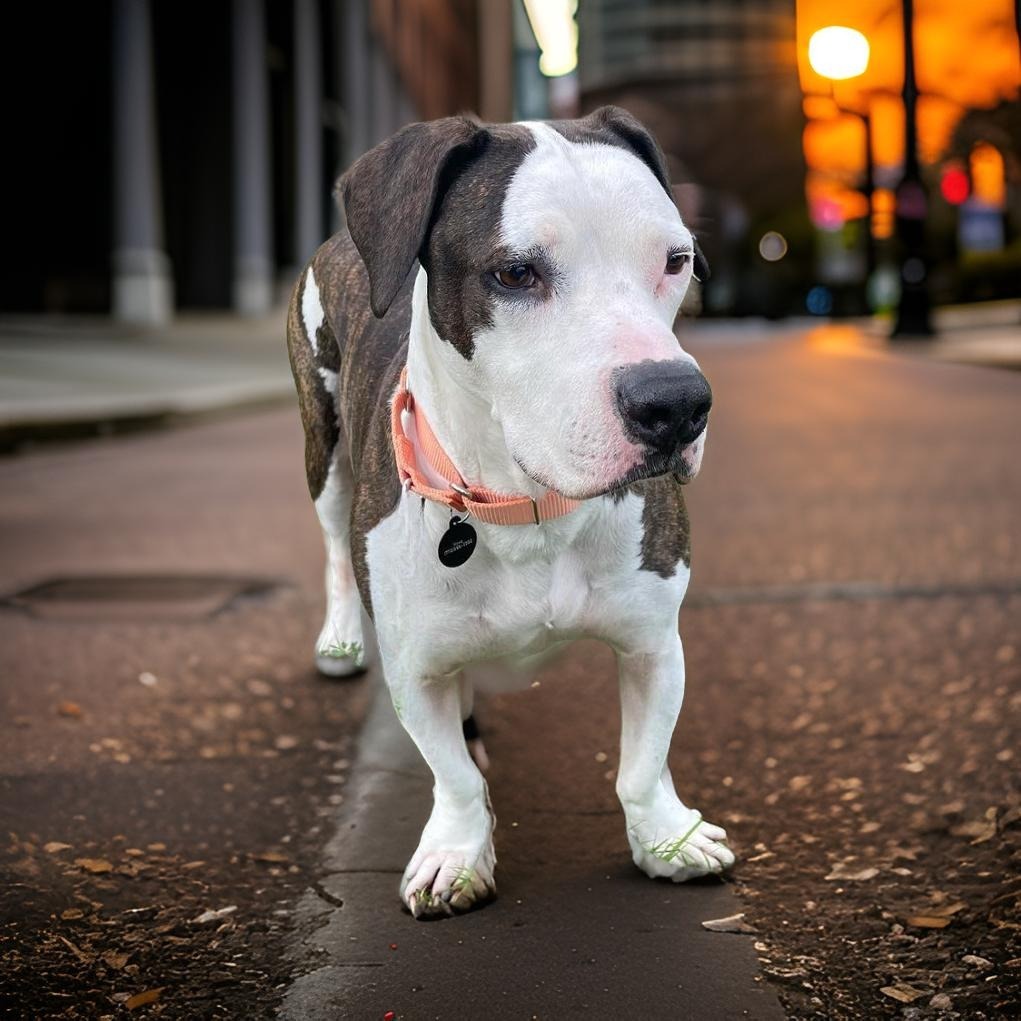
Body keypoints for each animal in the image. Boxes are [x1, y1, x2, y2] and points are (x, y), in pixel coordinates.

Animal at [287, 103, 735, 918]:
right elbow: (455, 776)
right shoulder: (415, 666)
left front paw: (666, 837)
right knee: (334, 543)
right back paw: (339, 639)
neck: (526, 507)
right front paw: (456, 853)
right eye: (515, 273)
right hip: (323, 446)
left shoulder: (653, 639)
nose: (676, 403)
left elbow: (641, 761)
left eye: (676, 259)